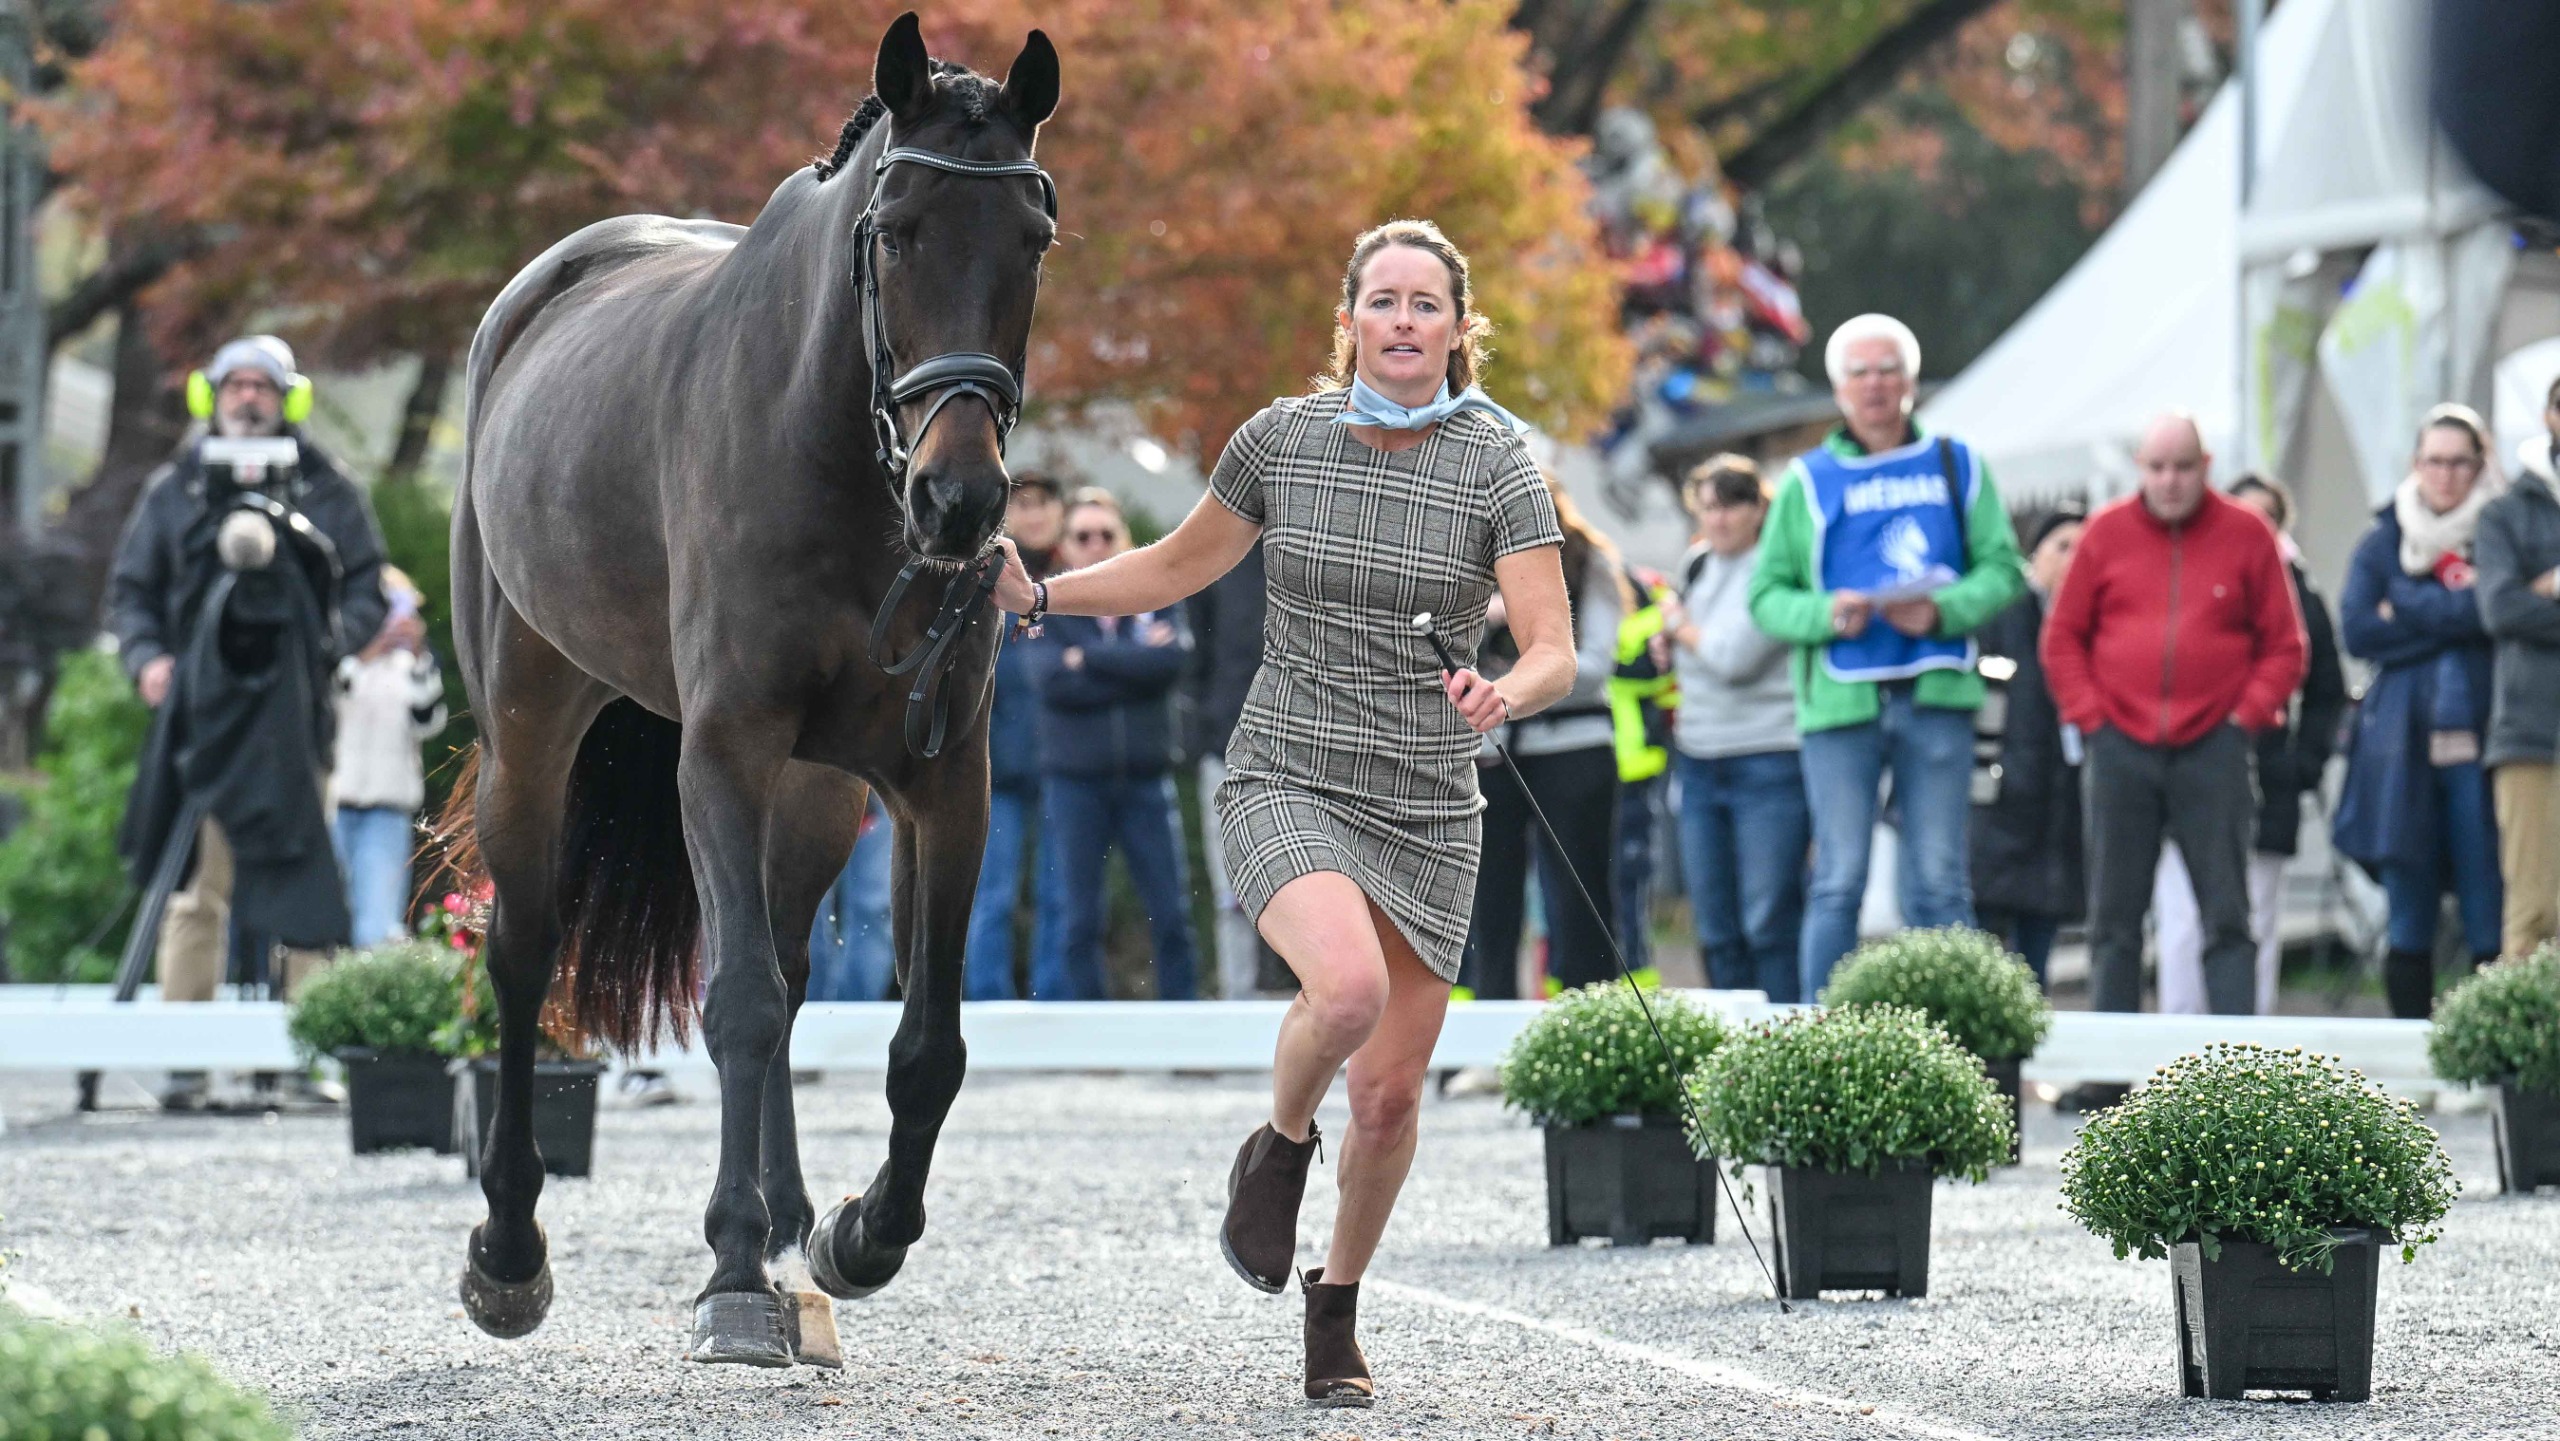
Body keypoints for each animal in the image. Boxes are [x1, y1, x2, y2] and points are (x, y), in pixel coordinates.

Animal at [442, 12, 1059, 1367]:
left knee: (783, 952)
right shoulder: (721, 750)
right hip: (529, 725)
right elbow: (733, 1004)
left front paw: (859, 1232)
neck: (833, 456)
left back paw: (786, 1222)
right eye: (896, 232)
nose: (961, 500)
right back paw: (512, 1250)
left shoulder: (945, 776)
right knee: (523, 953)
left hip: (820, 794)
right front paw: (729, 1277)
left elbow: (925, 1042)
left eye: (1033, 237)